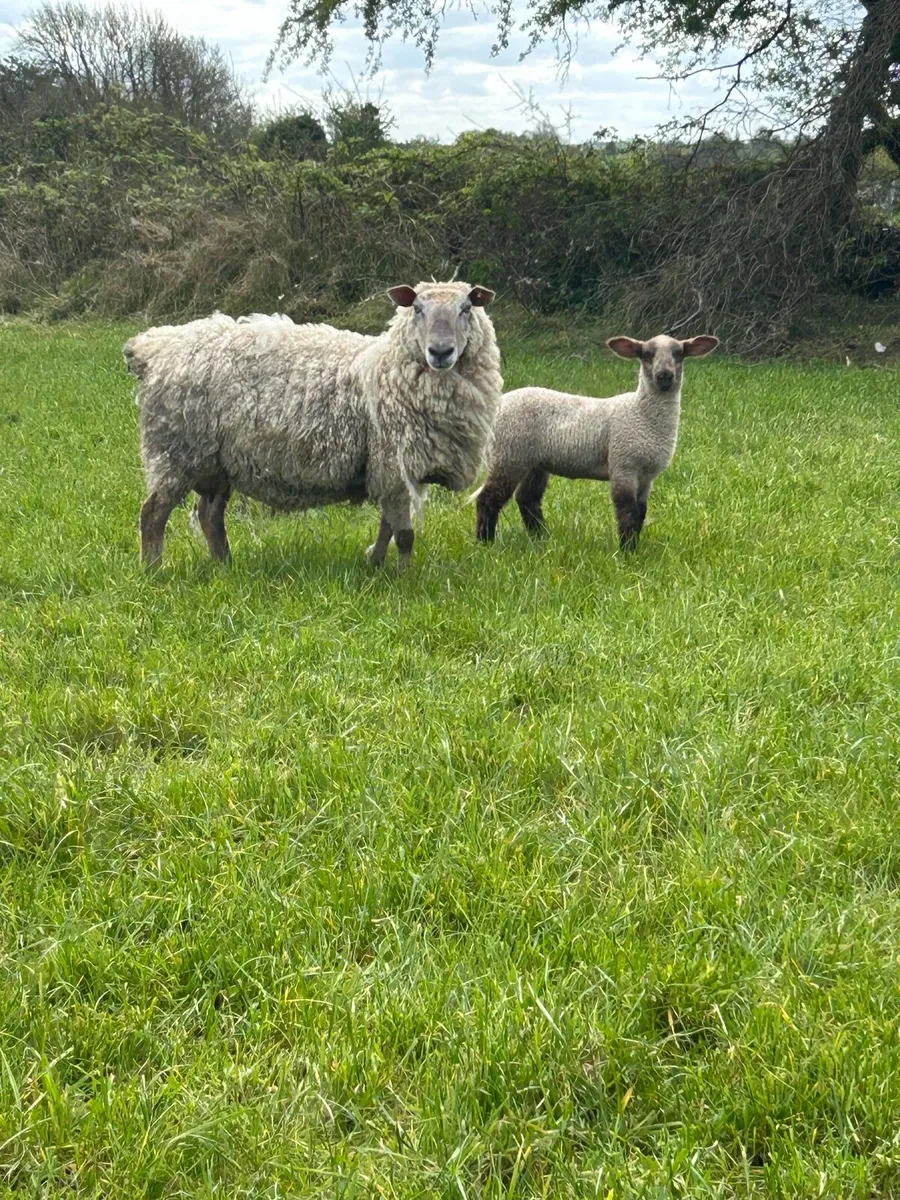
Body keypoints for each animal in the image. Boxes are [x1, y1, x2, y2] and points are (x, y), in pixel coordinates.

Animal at [124, 281, 502, 569]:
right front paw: (405, 576)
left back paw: (224, 565)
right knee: (153, 513)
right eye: (417, 309)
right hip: (175, 451)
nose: (440, 351)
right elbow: (404, 534)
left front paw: (376, 562)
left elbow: (389, 526)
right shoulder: (392, 462)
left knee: (209, 515)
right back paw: (153, 570)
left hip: (217, 462)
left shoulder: (395, 469)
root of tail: (153, 347)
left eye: (466, 308)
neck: (388, 366)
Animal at [474, 333, 718, 551]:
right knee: (488, 499)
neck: (641, 415)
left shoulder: (647, 476)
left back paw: (542, 538)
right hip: (509, 453)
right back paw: (486, 544)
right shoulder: (624, 464)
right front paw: (627, 552)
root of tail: (498, 406)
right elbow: (627, 512)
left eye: (678, 353)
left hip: (535, 461)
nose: (665, 376)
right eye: (647, 354)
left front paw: (635, 547)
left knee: (527, 500)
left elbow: (641, 513)